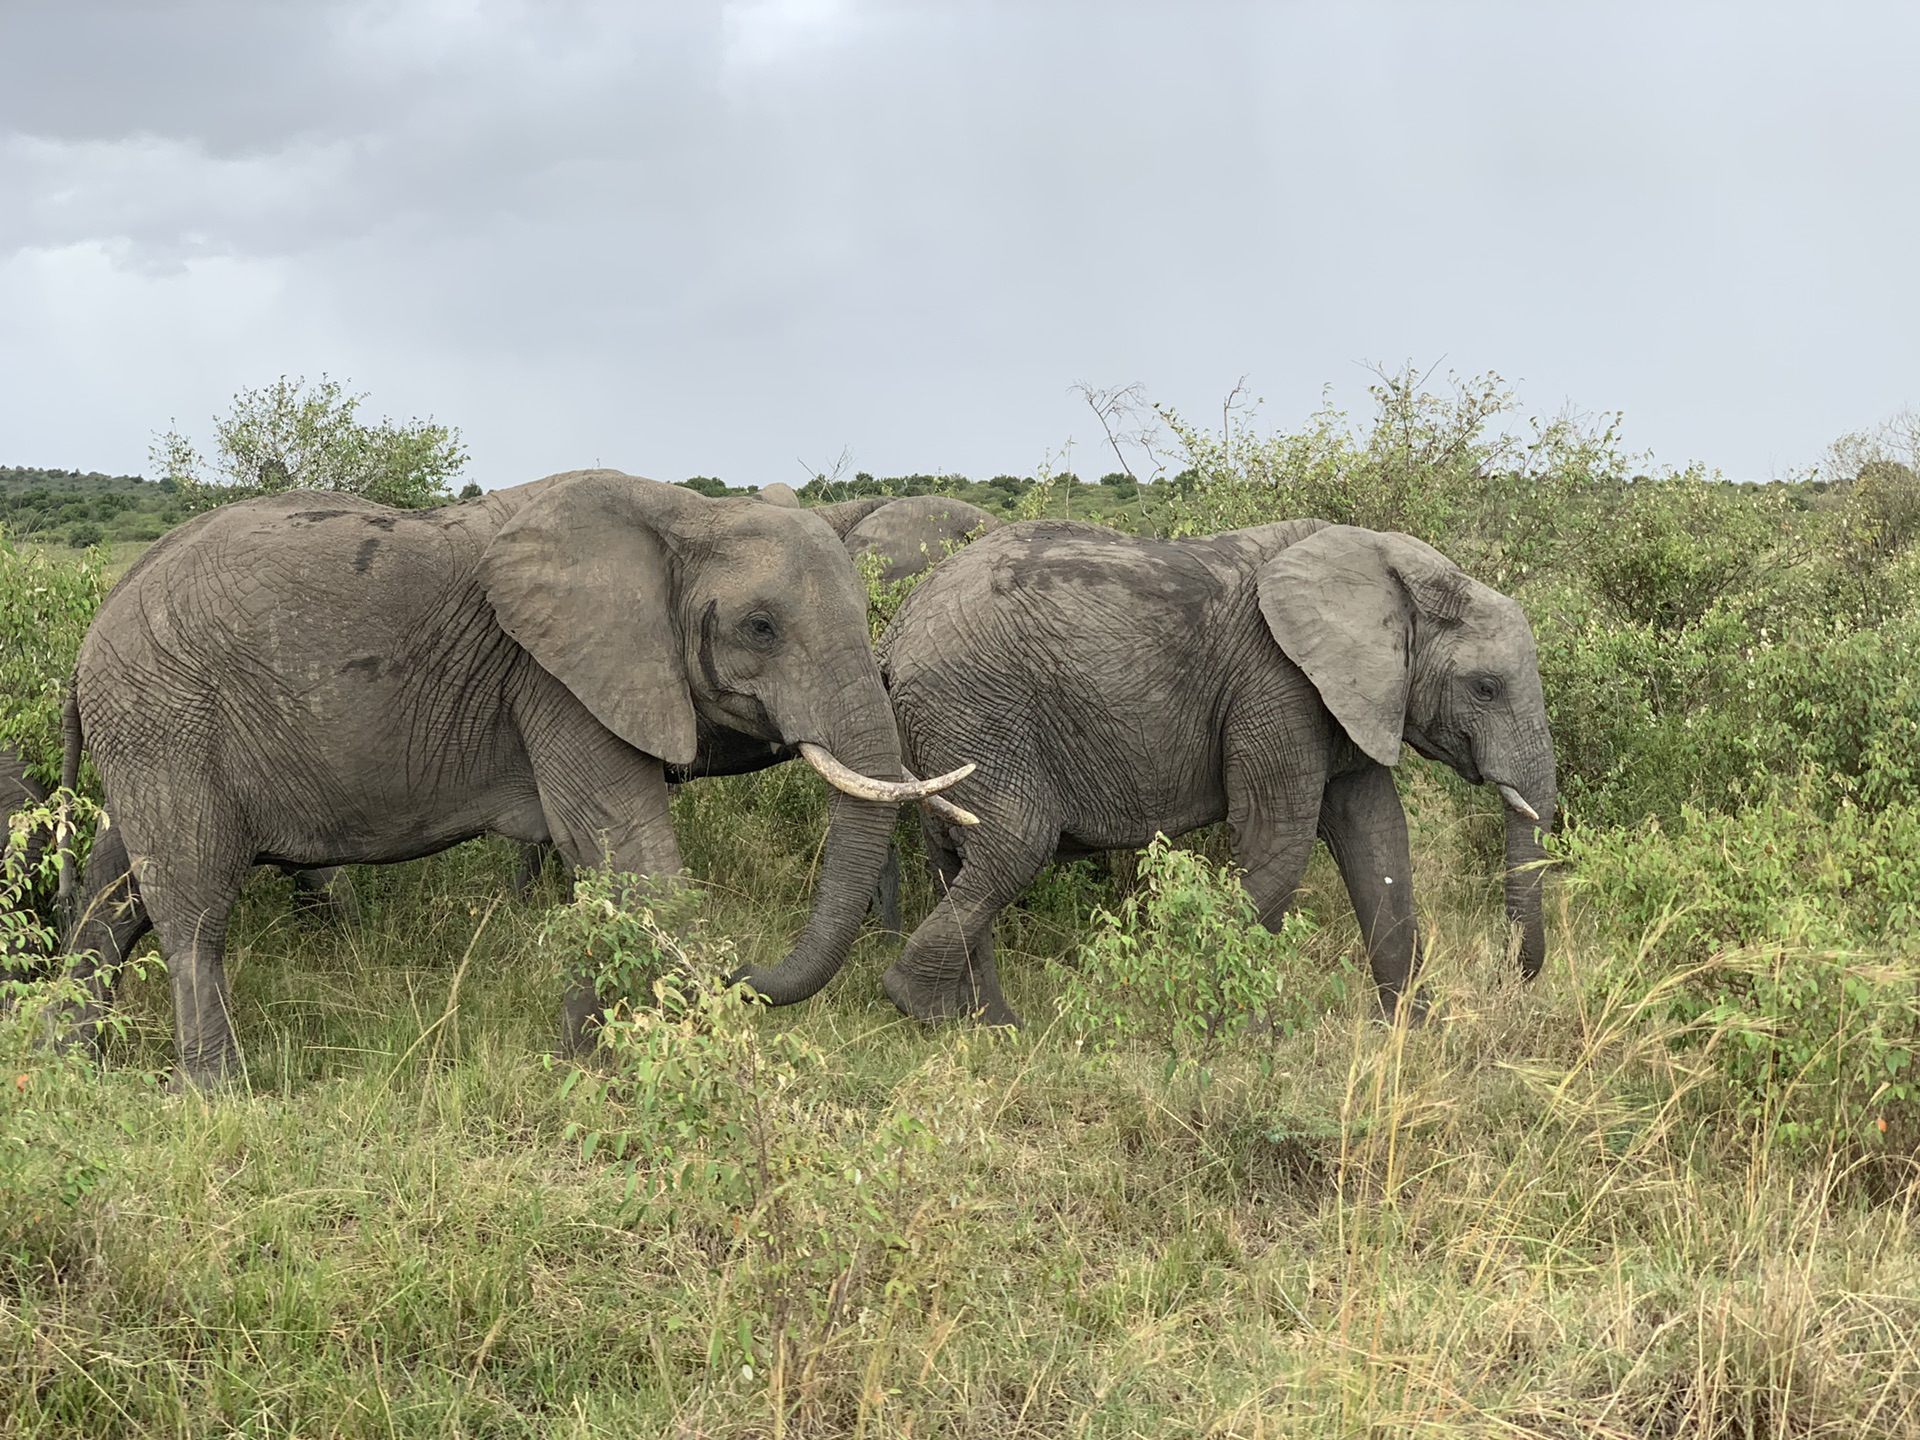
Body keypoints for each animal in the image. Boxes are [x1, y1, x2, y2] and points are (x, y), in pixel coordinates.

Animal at [802, 514, 1551, 1029]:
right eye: (1486, 688)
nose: (1516, 974)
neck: (1387, 566)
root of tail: (893, 633)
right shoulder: (1275, 685)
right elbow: (1279, 845)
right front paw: (1239, 1029)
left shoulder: (1352, 697)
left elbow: (1379, 841)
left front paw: (1411, 1032)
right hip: (976, 708)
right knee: (1014, 843)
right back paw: (925, 1008)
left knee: (961, 856)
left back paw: (990, 1028)